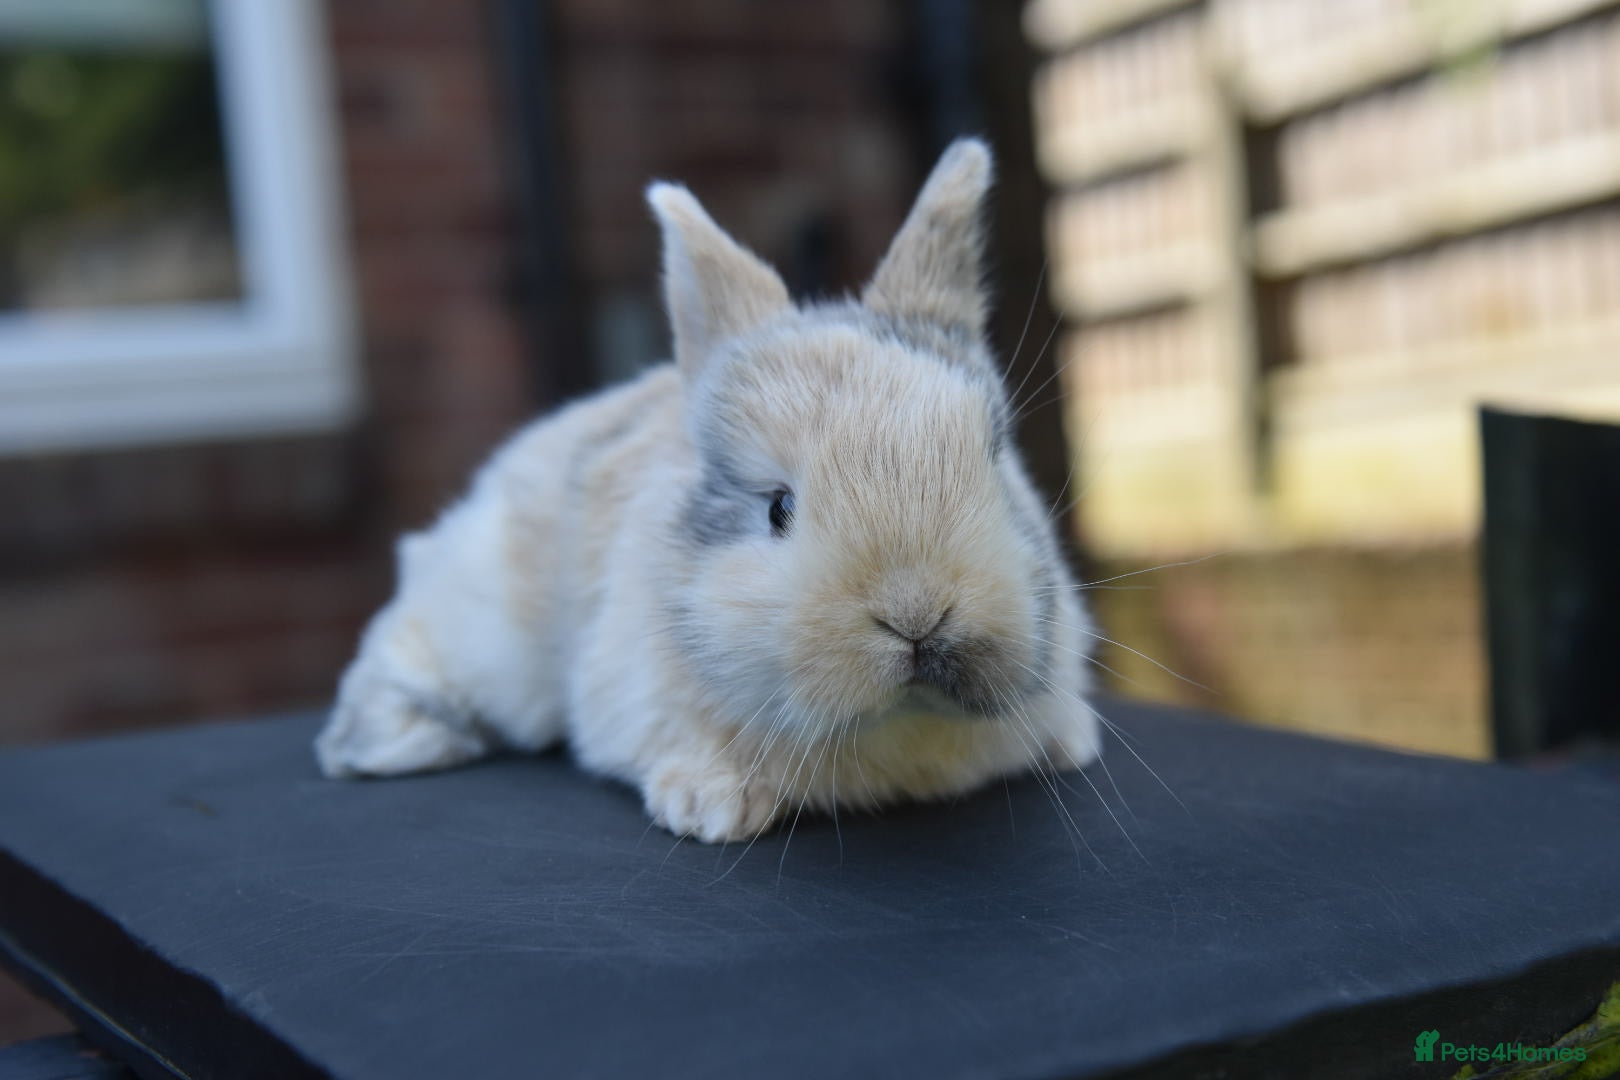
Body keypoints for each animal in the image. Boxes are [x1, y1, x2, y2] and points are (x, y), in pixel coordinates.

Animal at [314, 138, 1100, 842]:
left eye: (993, 463)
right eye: (778, 508)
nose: (916, 614)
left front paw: (1069, 743)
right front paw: (711, 808)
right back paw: (388, 744)